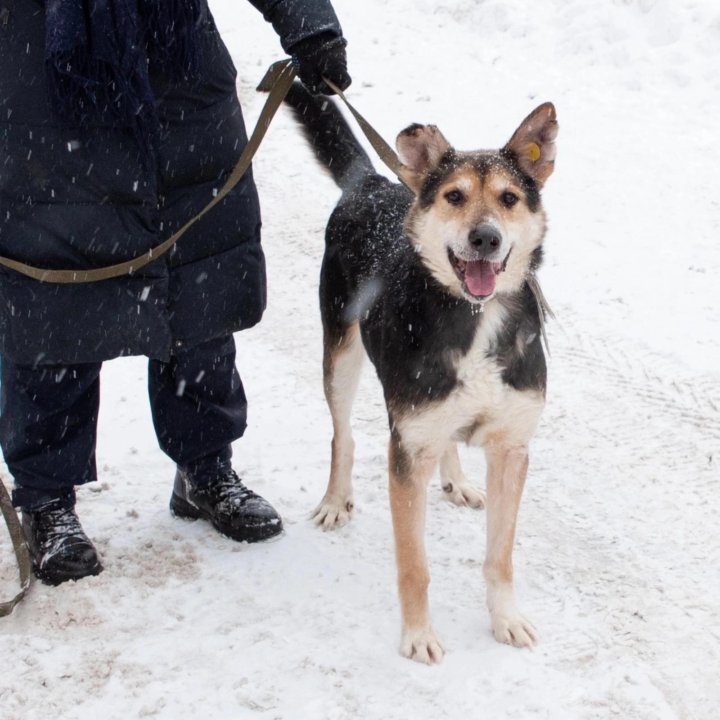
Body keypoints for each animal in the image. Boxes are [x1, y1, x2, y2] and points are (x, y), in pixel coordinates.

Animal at [286, 83, 556, 664]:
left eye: (509, 199)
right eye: (454, 196)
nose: (485, 239)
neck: (476, 317)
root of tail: (369, 184)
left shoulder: (512, 449)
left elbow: (500, 557)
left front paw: (506, 619)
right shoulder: (406, 453)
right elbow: (415, 566)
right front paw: (418, 636)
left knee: (446, 440)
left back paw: (456, 480)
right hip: (341, 354)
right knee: (342, 434)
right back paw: (335, 500)